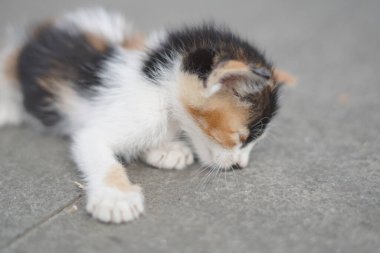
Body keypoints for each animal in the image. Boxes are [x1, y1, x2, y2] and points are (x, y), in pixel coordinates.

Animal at [0, 8, 290, 223]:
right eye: (238, 138)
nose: (241, 165)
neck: (159, 88)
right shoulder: (102, 128)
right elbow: (99, 150)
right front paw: (116, 197)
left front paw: (164, 149)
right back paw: (8, 107)